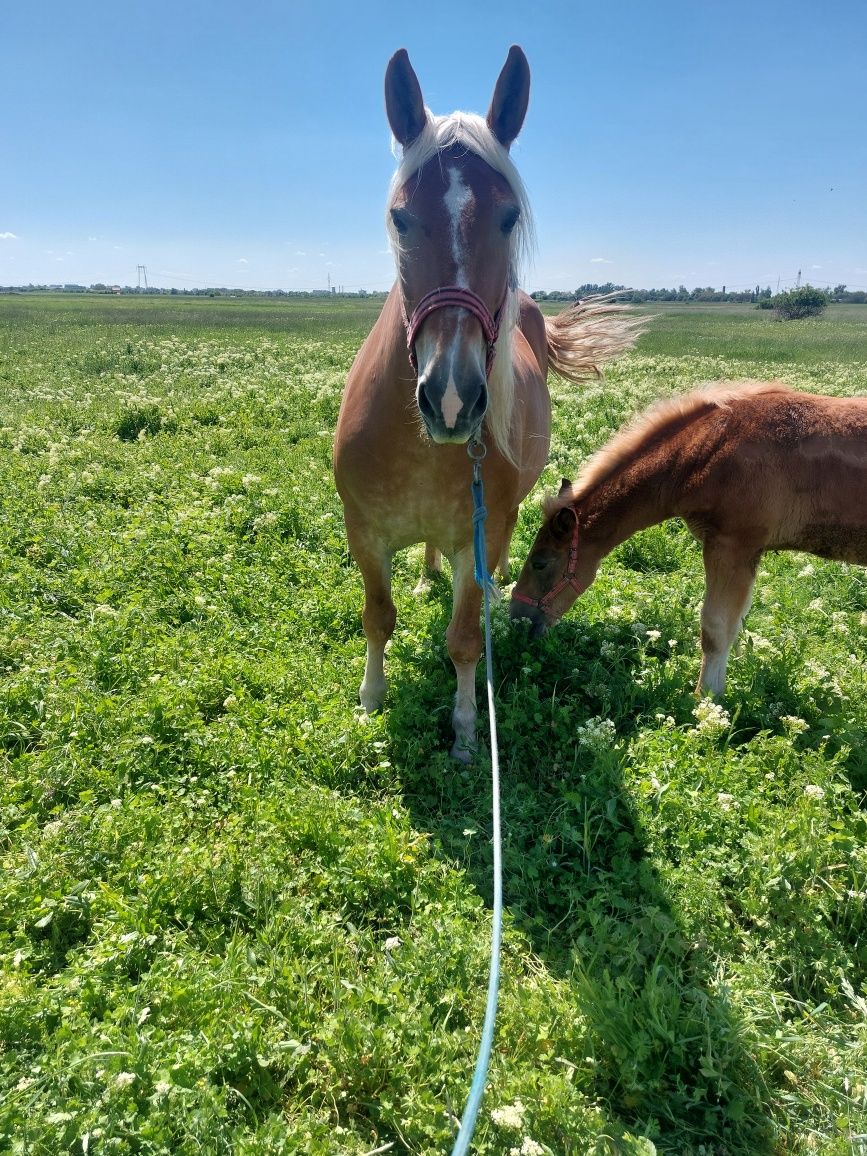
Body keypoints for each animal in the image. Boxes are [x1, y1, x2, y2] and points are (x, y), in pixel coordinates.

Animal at [335, 47, 642, 758]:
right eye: (400, 217)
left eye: (509, 218)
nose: (452, 399)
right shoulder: (365, 533)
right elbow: (377, 617)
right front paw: (371, 700)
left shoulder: (475, 539)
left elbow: (464, 639)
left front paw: (468, 730)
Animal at [508, 383, 867, 693]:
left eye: (539, 563)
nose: (517, 623)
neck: (708, 450)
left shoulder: (732, 546)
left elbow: (716, 628)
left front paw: (706, 699)